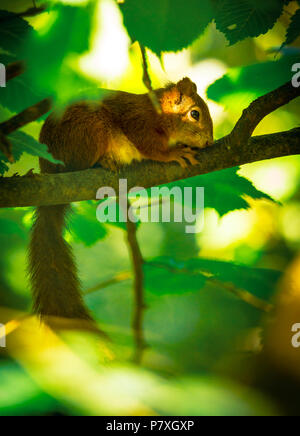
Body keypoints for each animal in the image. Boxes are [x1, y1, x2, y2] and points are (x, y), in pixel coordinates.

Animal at [28, 77, 213, 320]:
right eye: (195, 114)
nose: (210, 142)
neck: (157, 112)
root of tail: (49, 169)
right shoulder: (138, 124)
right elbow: (150, 148)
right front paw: (174, 153)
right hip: (90, 130)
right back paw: (103, 161)